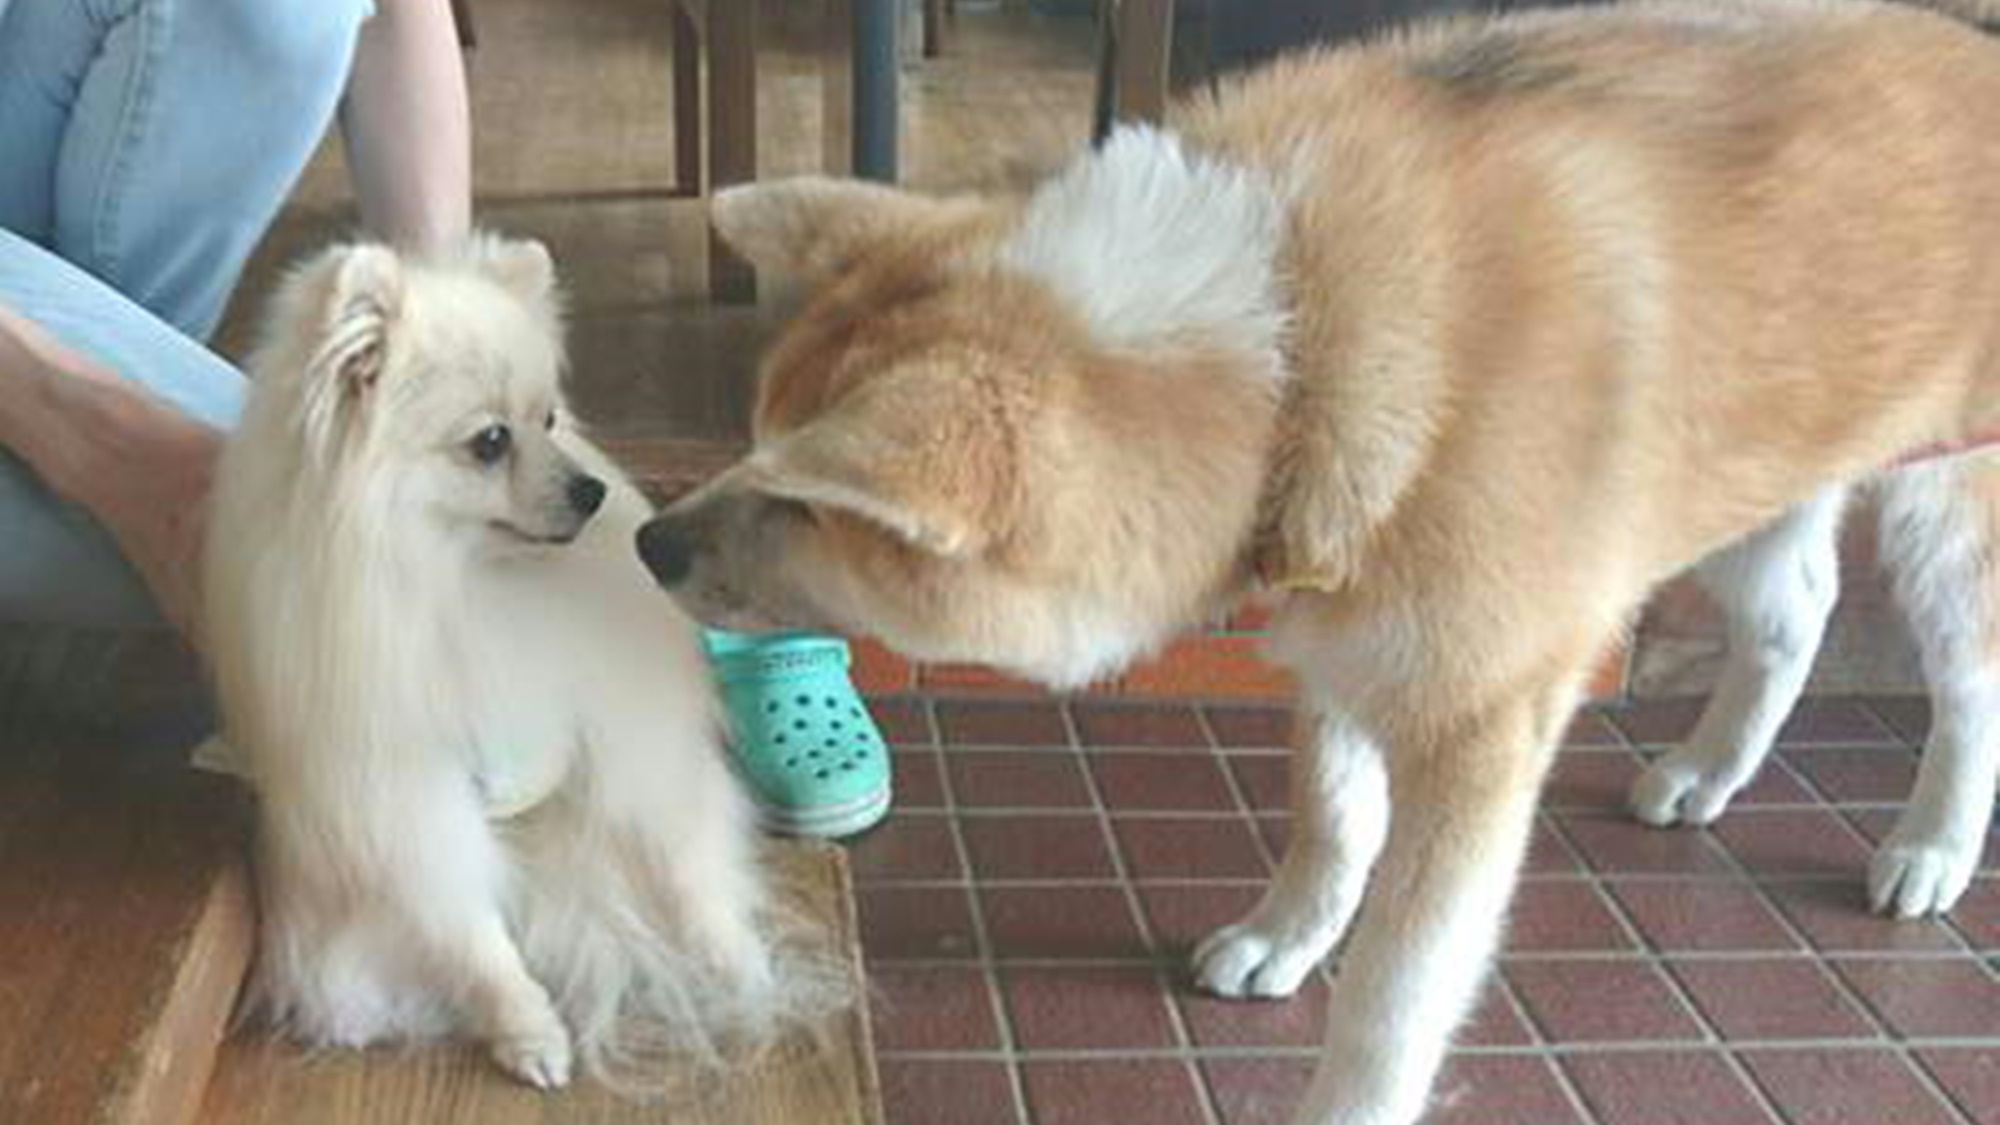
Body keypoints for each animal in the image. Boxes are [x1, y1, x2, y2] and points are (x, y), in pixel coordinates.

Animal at [197, 236, 804, 1088]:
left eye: (548, 418)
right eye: (489, 442)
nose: (589, 491)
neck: (469, 584)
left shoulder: (618, 732)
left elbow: (678, 860)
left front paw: (735, 961)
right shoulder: (406, 799)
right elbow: (471, 934)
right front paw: (528, 1028)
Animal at [640, 4, 2000, 1112]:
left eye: (811, 505)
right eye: (751, 440)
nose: (648, 539)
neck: (1299, 336)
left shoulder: (1477, 727)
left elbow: (1395, 998)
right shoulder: (1342, 628)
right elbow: (1332, 818)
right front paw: (1285, 938)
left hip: (1944, 516)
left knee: (1966, 688)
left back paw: (1929, 850)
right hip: (1755, 480)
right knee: (1794, 612)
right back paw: (1707, 772)